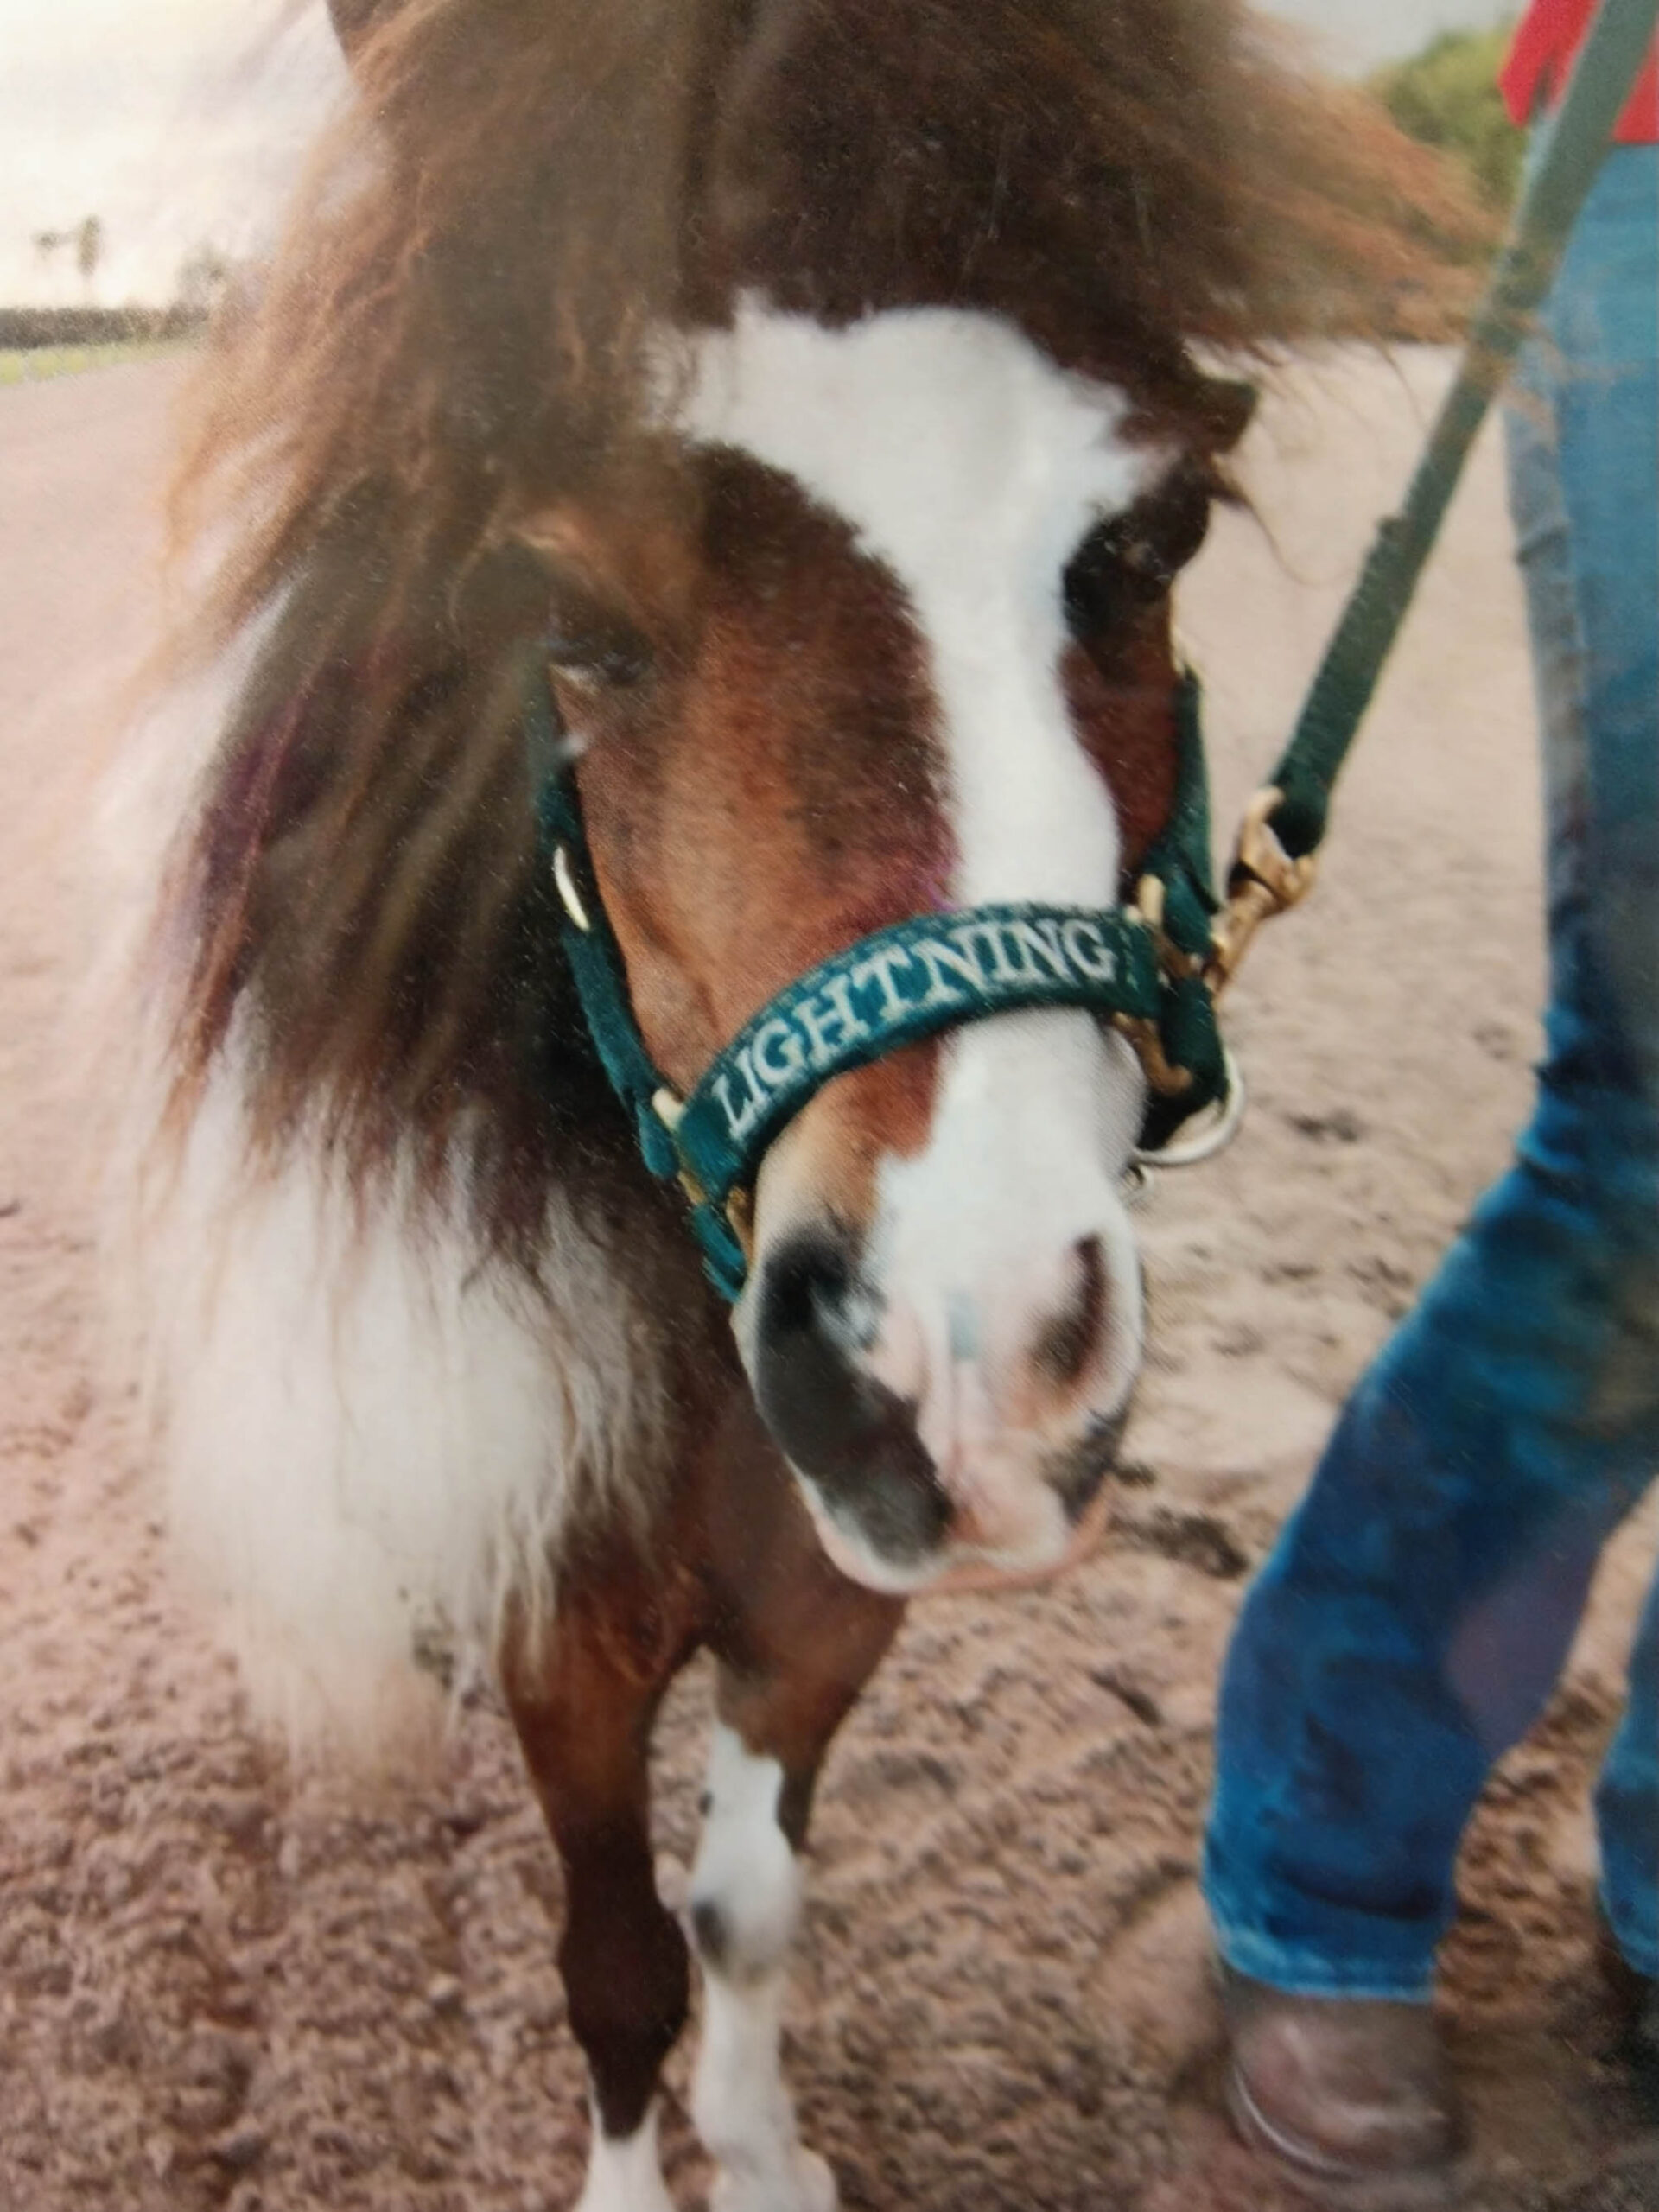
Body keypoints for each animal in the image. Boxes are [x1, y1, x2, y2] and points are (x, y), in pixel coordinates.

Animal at [113, 4, 1471, 2205]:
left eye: (1155, 536)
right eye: (557, 602)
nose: (968, 1368)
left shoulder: (826, 1614)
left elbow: (742, 1911)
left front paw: (759, 2152)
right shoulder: (567, 1658)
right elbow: (613, 1961)